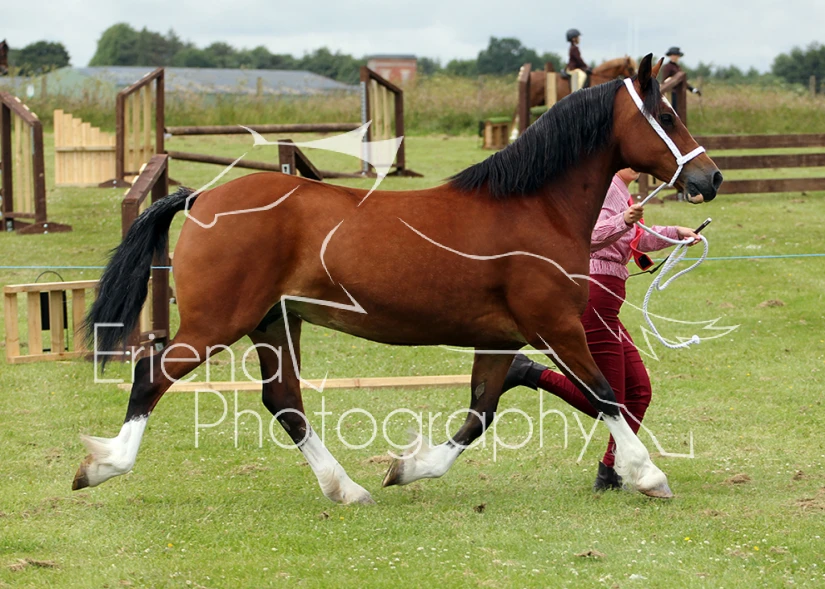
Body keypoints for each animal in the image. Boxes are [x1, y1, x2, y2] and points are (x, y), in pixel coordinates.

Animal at [73, 55, 722, 504]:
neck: (533, 205)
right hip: (217, 323)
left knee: (284, 403)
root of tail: (204, 197)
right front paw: (651, 475)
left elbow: (479, 414)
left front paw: (408, 468)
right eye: (666, 116)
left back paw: (346, 489)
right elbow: (607, 395)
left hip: (273, 322)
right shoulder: (556, 326)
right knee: (150, 375)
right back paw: (103, 466)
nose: (711, 178)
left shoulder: (500, 339)